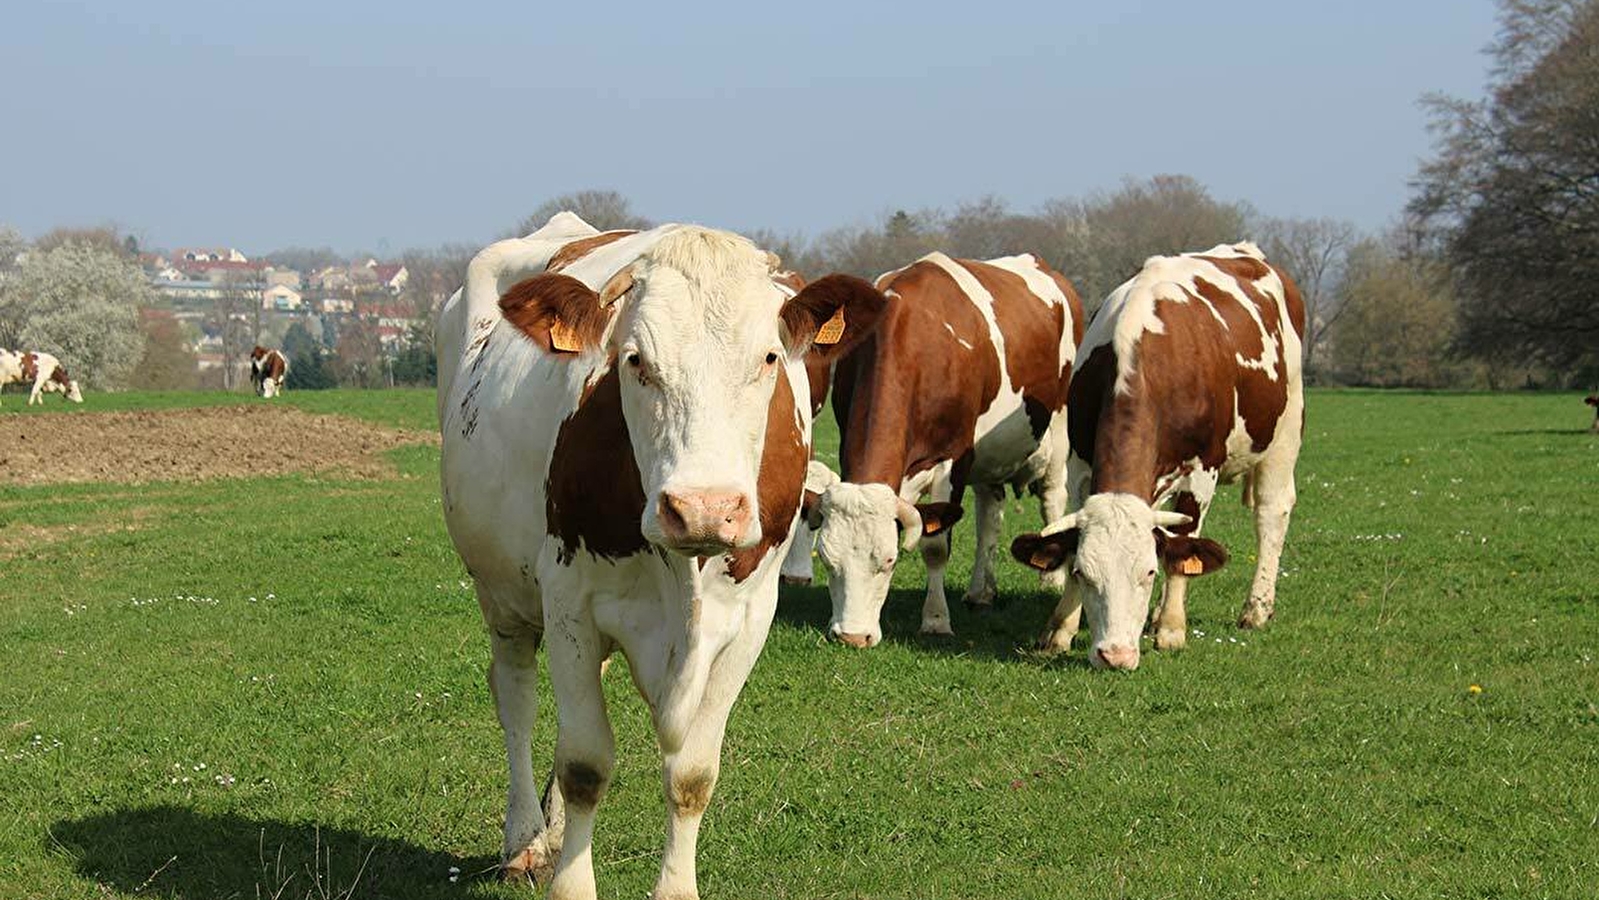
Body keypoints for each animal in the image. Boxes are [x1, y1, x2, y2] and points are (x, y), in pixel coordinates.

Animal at [438, 212, 889, 900]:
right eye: (635, 361)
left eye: (769, 357)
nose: (703, 508)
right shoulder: (569, 602)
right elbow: (585, 763)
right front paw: (571, 883)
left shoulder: (751, 618)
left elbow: (692, 774)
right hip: (502, 593)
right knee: (515, 696)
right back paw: (525, 840)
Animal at [805, 254, 1080, 649]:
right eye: (828, 561)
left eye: (889, 561)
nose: (853, 637)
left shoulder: (954, 457)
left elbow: (935, 546)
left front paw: (935, 620)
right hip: (990, 452)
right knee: (989, 515)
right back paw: (981, 592)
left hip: (1058, 433)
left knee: (1052, 499)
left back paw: (1051, 581)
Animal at [1016, 242, 1304, 671]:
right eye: (1084, 573)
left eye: (1149, 573)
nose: (1114, 655)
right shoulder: (1080, 466)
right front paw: (1060, 628)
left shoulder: (1202, 469)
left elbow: (1185, 540)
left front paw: (1170, 628)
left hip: (1285, 430)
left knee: (1271, 513)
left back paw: (1256, 608)